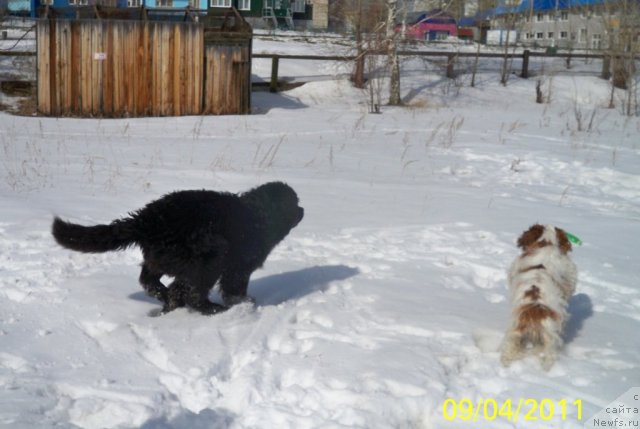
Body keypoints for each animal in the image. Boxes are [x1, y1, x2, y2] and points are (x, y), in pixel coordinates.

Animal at [51, 181, 304, 314]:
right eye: (295, 202)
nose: (303, 209)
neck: (258, 215)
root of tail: (145, 220)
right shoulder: (239, 267)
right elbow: (234, 288)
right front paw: (243, 305)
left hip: (161, 257)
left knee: (152, 281)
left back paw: (167, 299)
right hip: (211, 254)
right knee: (190, 291)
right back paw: (209, 308)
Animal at [500, 222, 580, 370]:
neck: (546, 243)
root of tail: (535, 312)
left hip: (514, 334)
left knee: (508, 352)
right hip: (551, 339)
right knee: (549, 357)